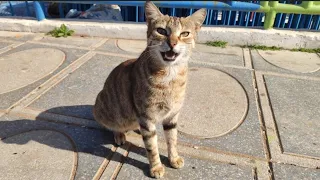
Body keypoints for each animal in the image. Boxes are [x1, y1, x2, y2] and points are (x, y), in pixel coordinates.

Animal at [94, 1, 206, 179]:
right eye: (161, 31)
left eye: (185, 33)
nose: (173, 43)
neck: (170, 76)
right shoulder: (146, 117)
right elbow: (152, 148)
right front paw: (156, 167)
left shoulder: (172, 117)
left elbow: (172, 140)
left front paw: (174, 158)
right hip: (105, 108)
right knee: (113, 125)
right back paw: (119, 134)